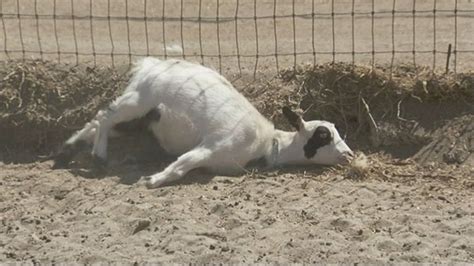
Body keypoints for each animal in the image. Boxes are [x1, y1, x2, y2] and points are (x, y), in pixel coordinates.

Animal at [53, 57, 354, 187]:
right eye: (323, 135)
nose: (349, 155)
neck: (268, 144)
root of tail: (152, 64)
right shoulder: (212, 147)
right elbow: (181, 165)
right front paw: (154, 180)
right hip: (139, 101)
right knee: (105, 117)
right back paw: (98, 156)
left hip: (139, 115)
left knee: (97, 121)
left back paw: (67, 152)